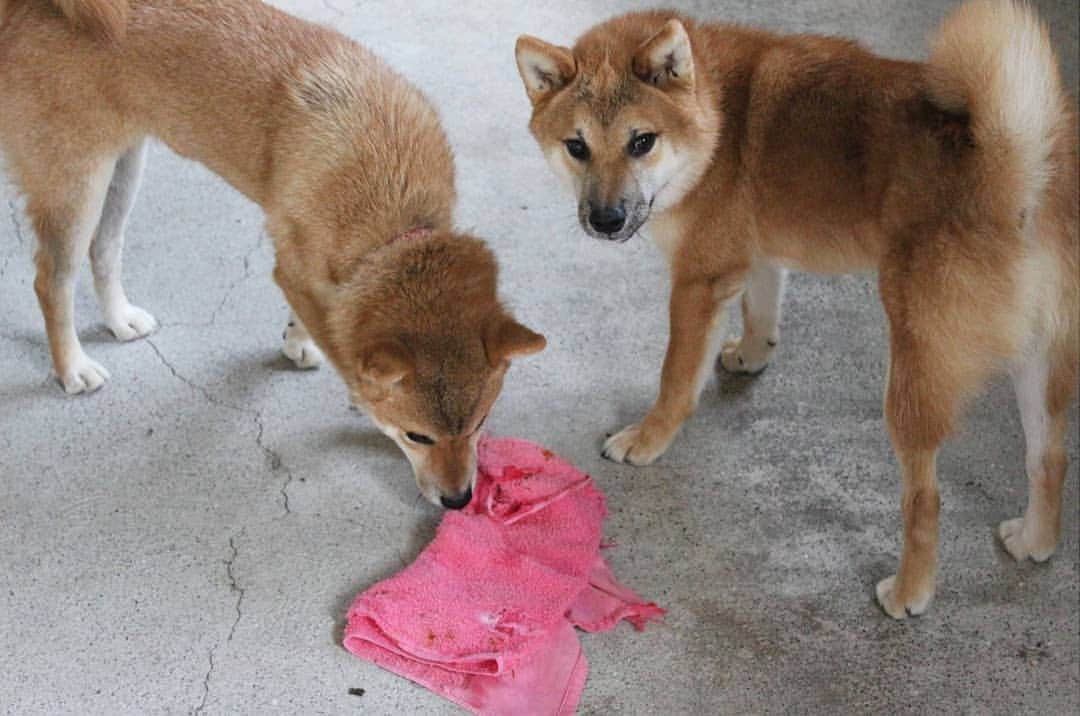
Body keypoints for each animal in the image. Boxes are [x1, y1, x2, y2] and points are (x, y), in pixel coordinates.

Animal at [0, 2, 540, 511]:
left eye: (480, 423)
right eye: (418, 436)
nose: (458, 499)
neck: (393, 212)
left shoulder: (314, 267)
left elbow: (311, 309)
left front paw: (297, 339)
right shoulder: (296, 270)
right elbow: (336, 344)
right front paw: (349, 390)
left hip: (124, 167)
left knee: (105, 248)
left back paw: (119, 320)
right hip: (76, 185)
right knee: (52, 280)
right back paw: (73, 367)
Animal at [514, 0, 1071, 617]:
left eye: (642, 142)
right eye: (577, 147)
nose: (606, 219)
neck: (717, 117)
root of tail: (1018, 176)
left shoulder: (699, 282)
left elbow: (676, 378)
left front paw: (647, 438)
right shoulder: (752, 254)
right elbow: (762, 310)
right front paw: (752, 355)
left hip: (914, 372)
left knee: (926, 500)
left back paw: (909, 591)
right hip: (1038, 362)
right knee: (1049, 458)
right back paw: (1036, 540)